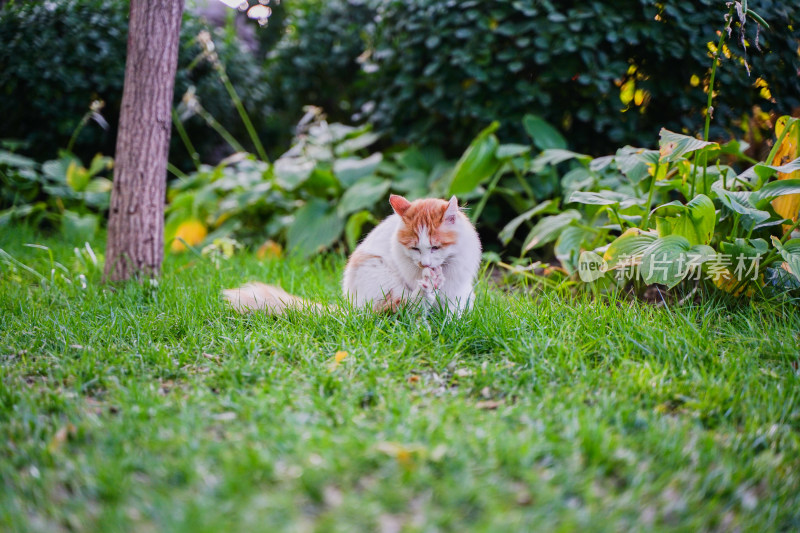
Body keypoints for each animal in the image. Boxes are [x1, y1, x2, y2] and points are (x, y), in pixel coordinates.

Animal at [225, 193, 484, 314]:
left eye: (435, 247)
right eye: (415, 249)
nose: (425, 264)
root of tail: (351, 309)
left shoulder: (459, 290)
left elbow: (453, 312)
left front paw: (451, 326)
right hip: (379, 274)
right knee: (401, 307)